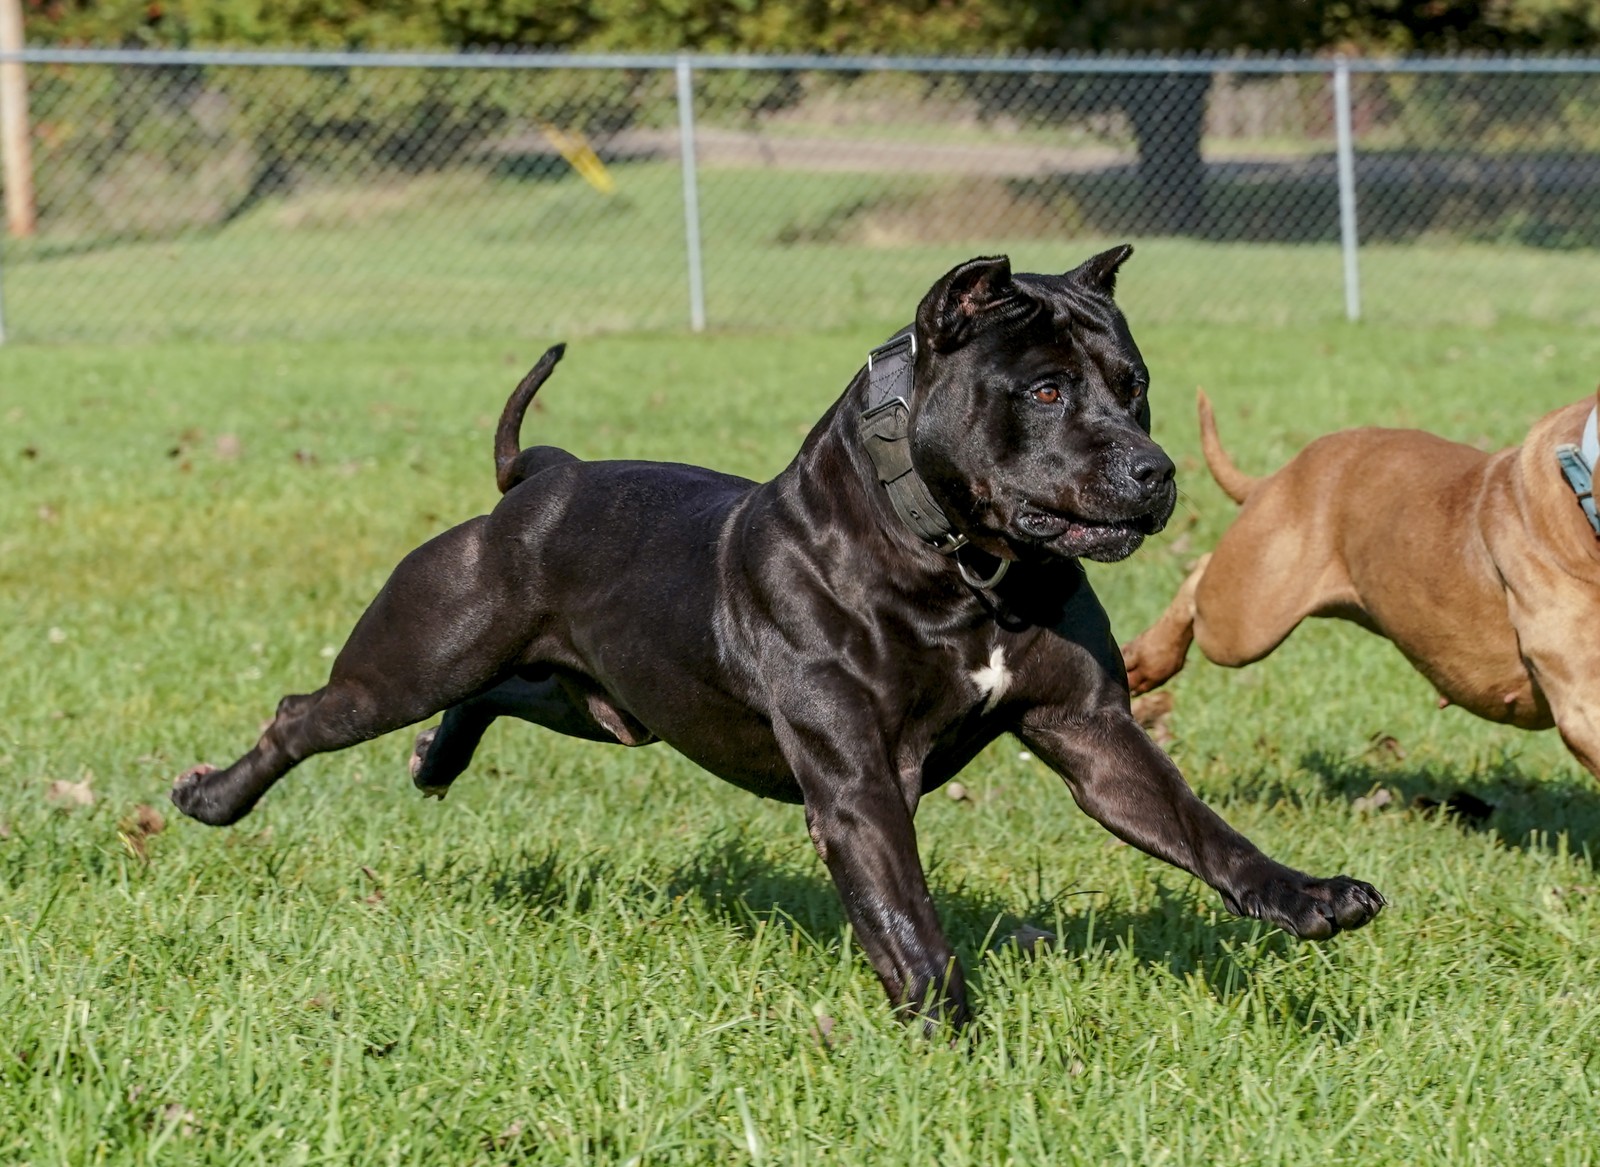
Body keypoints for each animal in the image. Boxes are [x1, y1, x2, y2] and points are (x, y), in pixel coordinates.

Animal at [172, 249, 1376, 1024]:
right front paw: (951, 1028)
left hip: (604, 704)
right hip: (413, 657)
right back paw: (212, 797)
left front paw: (1306, 897)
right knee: (306, 714)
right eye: (1043, 389)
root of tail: (543, 476)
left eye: (1135, 387)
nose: (1153, 470)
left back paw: (438, 758)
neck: (962, 568)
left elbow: (1199, 827)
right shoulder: (855, 782)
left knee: (498, 695)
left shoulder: (1091, 732)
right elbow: (903, 911)